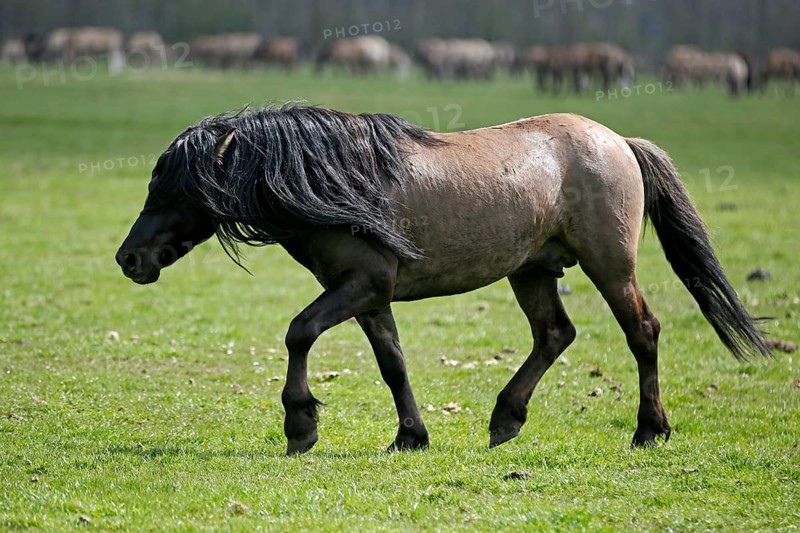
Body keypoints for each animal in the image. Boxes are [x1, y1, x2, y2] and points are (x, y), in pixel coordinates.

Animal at [116, 105, 770, 455]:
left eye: (175, 191)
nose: (129, 260)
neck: (339, 182)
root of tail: (618, 142)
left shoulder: (359, 286)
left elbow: (299, 332)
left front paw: (300, 423)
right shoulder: (371, 296)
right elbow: (393, 365)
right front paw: (410, 436)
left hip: (610, 266)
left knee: (642, 332)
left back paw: (648, 430)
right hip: (532, 270)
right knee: (554, 335)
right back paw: (505, 419)